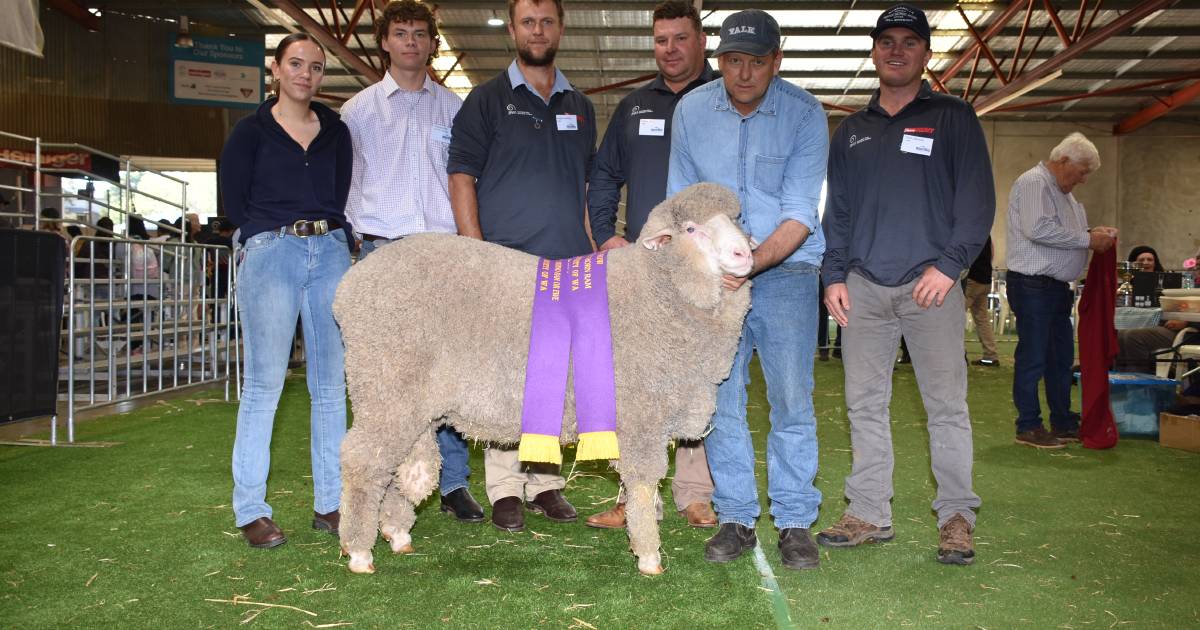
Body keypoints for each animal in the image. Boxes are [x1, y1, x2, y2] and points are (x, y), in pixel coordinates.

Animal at [333, 181, 753, 573]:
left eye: (736, 219)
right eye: (692, 229)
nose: (745, 254)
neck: (661, 291)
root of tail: (348, 288)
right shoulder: (641, 417)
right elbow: (644, 484)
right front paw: (649, 556)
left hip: (410, 402)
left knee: (396, 467)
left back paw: (397, 534)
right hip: (384, 386)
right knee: (363, 462)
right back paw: (359, 552)